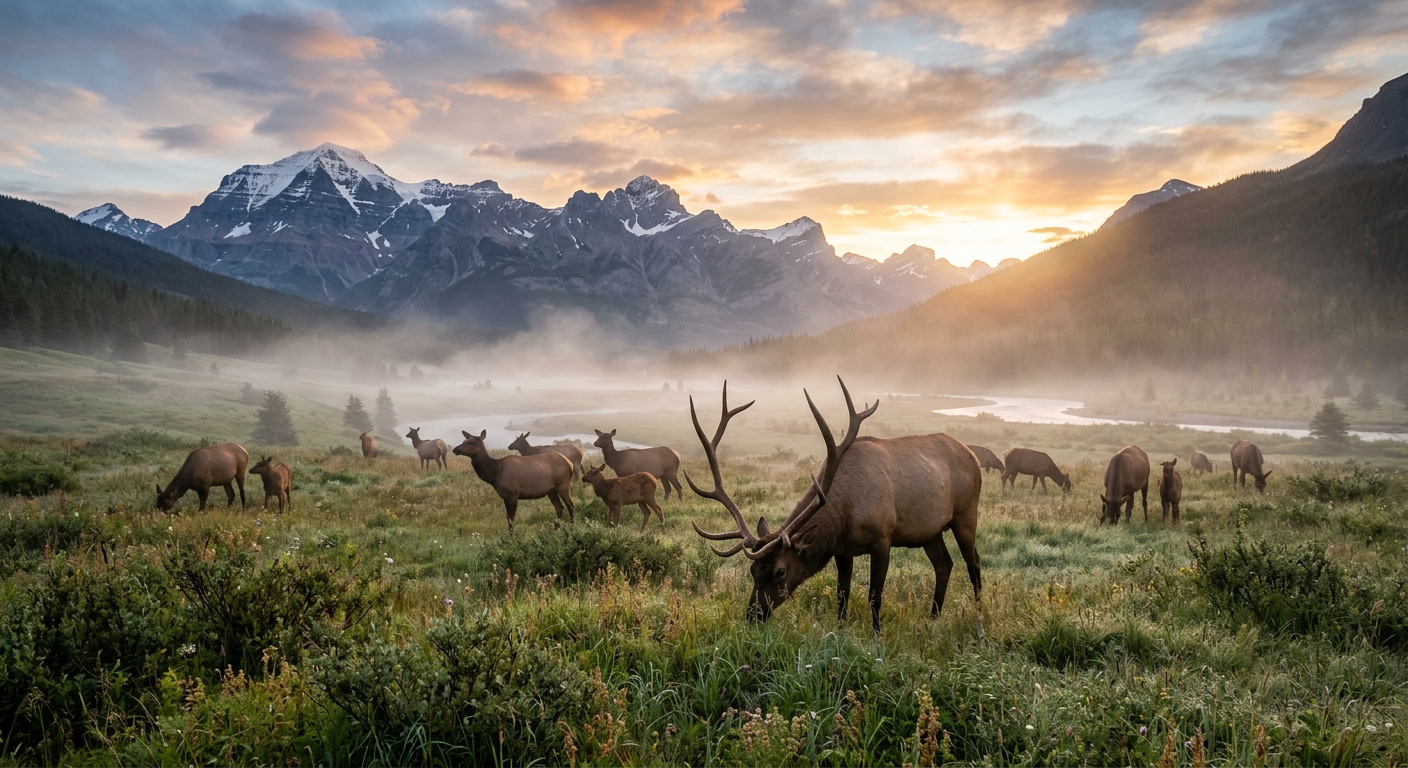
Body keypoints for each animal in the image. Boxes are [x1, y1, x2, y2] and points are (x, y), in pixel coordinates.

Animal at [690, 379, 984, 638]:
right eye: (752, 570)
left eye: (780, 571)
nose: (753, 615)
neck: (846, 512)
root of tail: (973, 455)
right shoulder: (843, 549)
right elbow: (843, 596)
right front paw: (839, 634)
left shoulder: (882, 538)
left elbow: (874, 596)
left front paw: (876, 637)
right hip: (929, 532)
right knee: (944, 564)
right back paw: (933, 618)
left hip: (966, 514)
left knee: (974, 565)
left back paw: (980, 624)